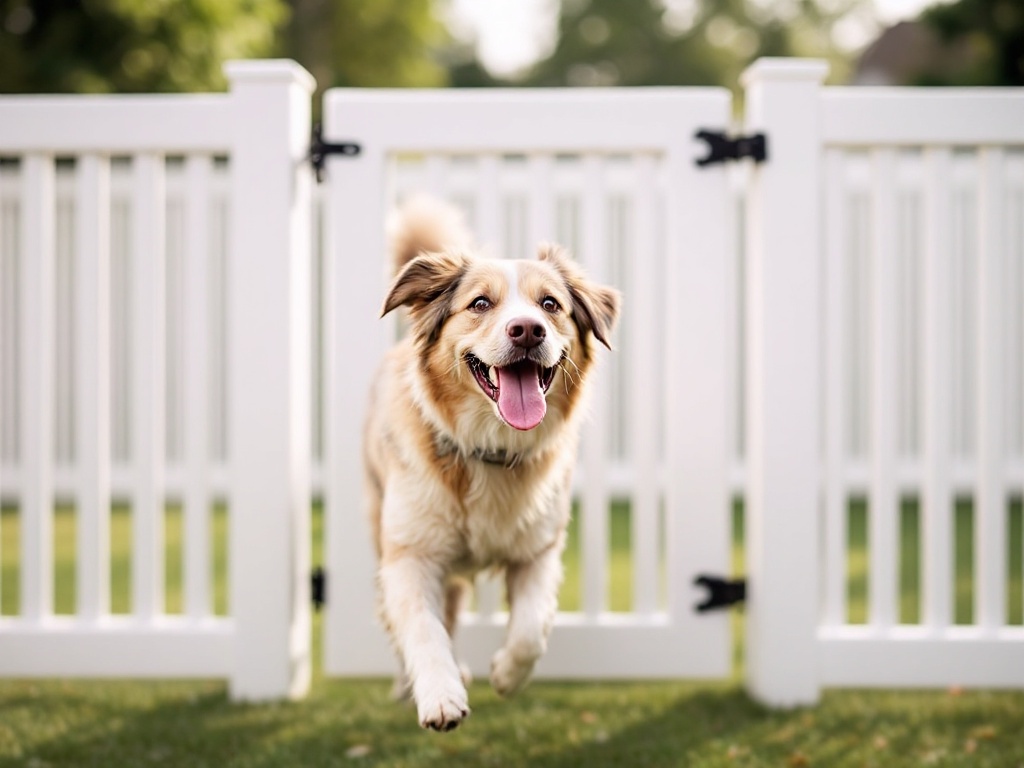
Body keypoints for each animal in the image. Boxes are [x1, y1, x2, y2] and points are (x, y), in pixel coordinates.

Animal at [368, 195, 618, 729]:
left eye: (550, 304)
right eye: (480, 304)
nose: (527, 330)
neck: (491, 449)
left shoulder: (539, 551)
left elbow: (531, 628)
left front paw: (506, 674)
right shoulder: (411, 556)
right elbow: (422, 630)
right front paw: (440, 695)